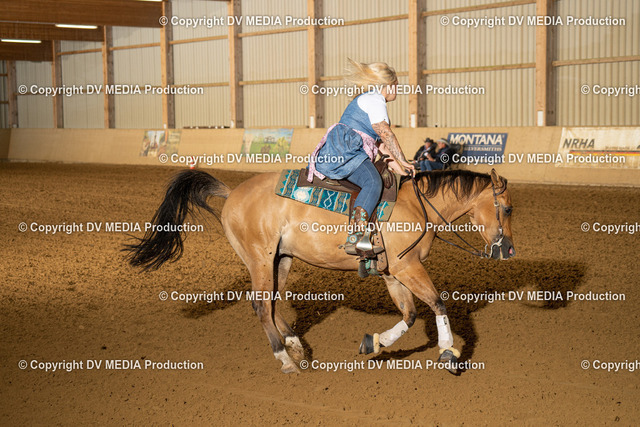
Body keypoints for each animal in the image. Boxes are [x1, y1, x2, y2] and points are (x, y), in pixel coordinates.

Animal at [124, 168, 515, 374]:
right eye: (508, 209)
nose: (509, 250)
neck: (414, 206)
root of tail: (232, 192)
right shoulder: (408, 266)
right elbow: (437, 304)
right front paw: (449, 354)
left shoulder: (394, 272)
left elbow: (409, 314)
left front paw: (374, 342)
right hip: (260, 257)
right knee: (261, 305)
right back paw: (285, 359)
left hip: (280, 258)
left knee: (273, 303)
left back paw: (295, 344)